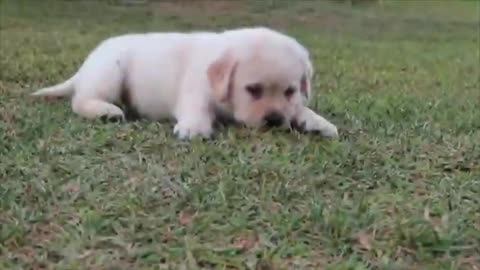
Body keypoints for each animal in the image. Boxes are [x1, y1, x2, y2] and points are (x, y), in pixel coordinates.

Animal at [31, 26, 338, 139]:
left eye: (290, 91)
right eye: (253, 90)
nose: (274, 120)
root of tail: (85, 66)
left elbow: (300, 108)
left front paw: (317, 121)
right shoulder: (196, 87)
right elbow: (196, 107)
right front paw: (194, 128)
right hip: (109, 72)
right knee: (80, 100)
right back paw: (106, 111)